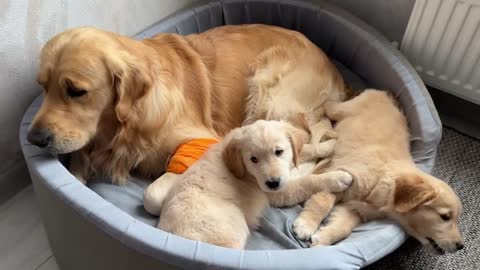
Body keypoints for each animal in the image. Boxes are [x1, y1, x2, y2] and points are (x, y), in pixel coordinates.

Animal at [26, 24, 346, 185]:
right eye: (43, 86)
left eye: (76, 91)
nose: (34, 138)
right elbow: (78, 168)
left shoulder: (201, 139)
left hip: (267, 93)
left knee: (307, 143)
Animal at [158, 120, 352, 249]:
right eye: (253, 159)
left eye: (279, 152)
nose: (273, 183)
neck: (247, 172)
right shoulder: (277, 192)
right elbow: (307, 182)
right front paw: (338, 177)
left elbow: (307, 149)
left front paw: (331, 144)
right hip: (230, 230)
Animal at [290, 89, 464, 254]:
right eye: (445, 217)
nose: (460, 246)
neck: (383, 182)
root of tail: (387, 94)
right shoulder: (341, 176)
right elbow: (322, 202)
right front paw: (306, 225)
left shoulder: (355, 209)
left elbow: (344, 227)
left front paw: (323, 238)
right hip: (341, 109)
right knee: (327, 105)